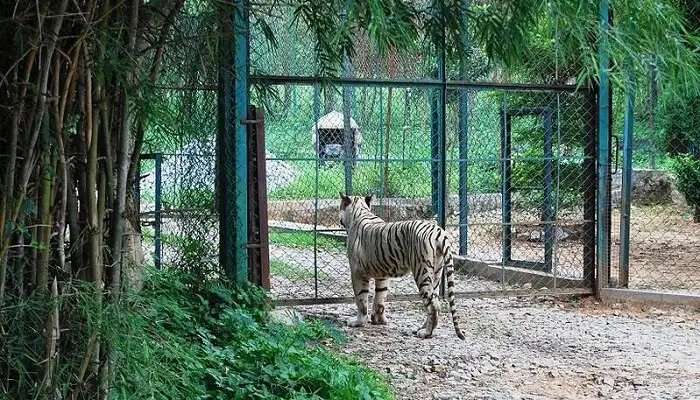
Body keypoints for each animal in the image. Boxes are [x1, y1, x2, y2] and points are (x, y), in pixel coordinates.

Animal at [340, 192, 464, 340]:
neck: (360, 211)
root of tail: (438, 231)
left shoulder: (357, 273)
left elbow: (361, 300)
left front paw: (358, 321)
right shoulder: (382, 275)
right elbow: (380, 298)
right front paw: (379, 320)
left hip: (422, 272)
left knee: (433, 304)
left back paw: (426, 333)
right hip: (436, 273)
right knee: (435, 301)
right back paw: (422, 328)